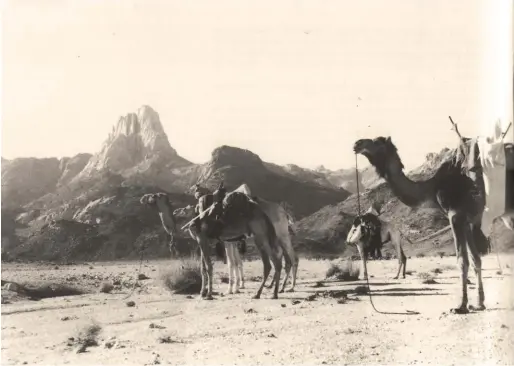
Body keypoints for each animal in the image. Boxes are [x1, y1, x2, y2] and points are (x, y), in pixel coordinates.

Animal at [352, 137, 488, 314]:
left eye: (378, 141)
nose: (357, 143)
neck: (432, 188)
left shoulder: (456, 215)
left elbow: (462, 260)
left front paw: (461, 306)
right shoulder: (468, 221)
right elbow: (475, 259)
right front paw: (479, 304)